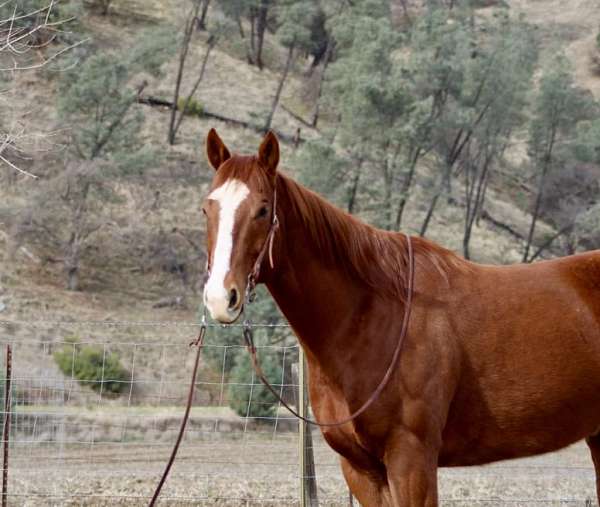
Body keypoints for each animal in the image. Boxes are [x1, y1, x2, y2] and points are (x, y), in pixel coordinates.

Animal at [200, 129, 600, 506]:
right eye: (207, 209)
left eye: (263, 209)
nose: (221, 297)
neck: (372, 317)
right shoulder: (361, 469)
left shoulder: (412, 460)